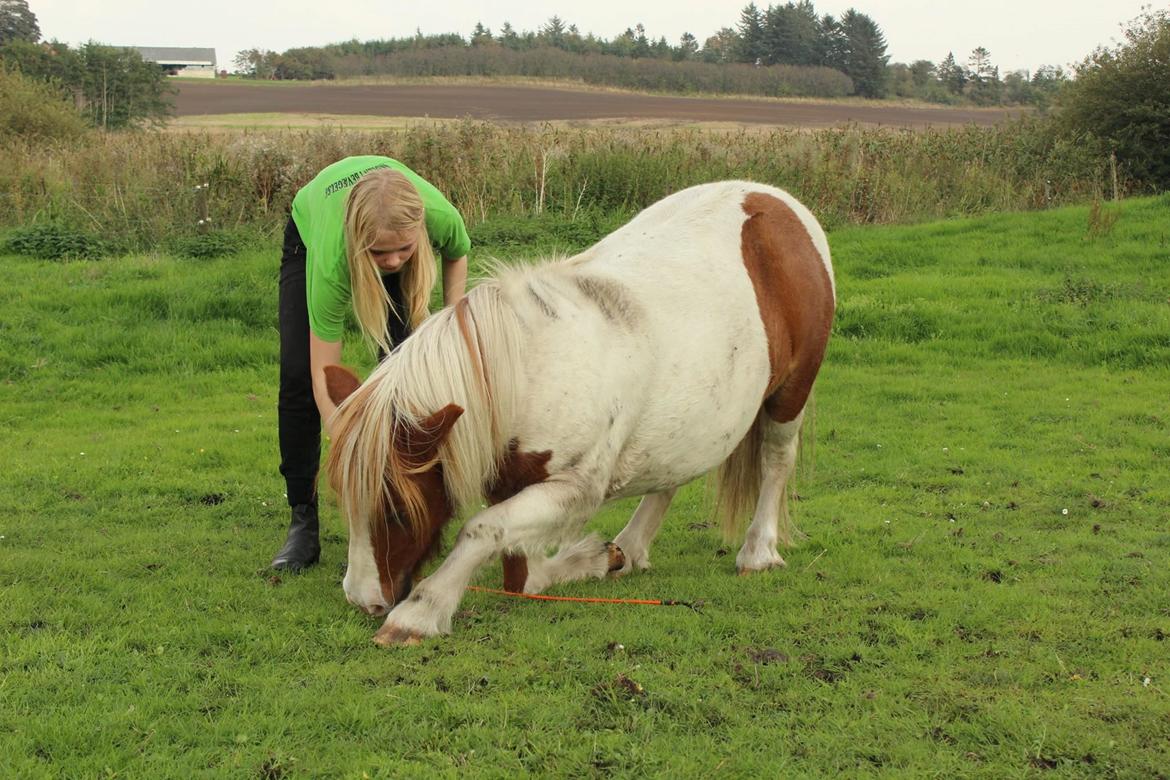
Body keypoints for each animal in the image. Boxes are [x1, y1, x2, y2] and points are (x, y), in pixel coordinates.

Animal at [325, 183, 837, 645]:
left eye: (396, 509)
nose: (362, 599)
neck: (530, 371)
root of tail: (776, 200)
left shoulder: (573, 492)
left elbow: (479, 531)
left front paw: (421, 612)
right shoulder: (512, 484)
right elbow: (523, 576)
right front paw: (593, 560)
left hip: (791, 395)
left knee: (776, 461)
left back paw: (757, 551)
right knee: (671, 475)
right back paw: (631, 548)